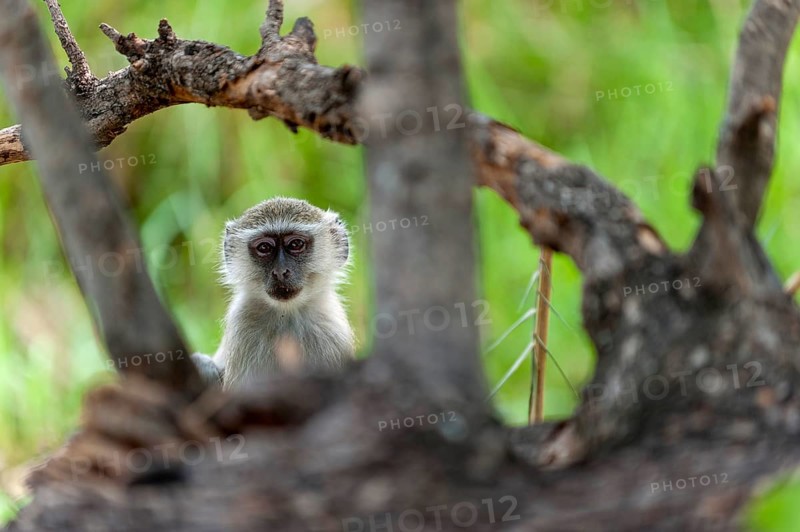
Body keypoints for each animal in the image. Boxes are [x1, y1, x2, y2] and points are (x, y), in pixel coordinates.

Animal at [191, 197, 355, 390]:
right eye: (264, 247)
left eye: (296, 244)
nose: (280, 272)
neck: (287, 314)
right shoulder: (243, 325)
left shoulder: (332, 331)